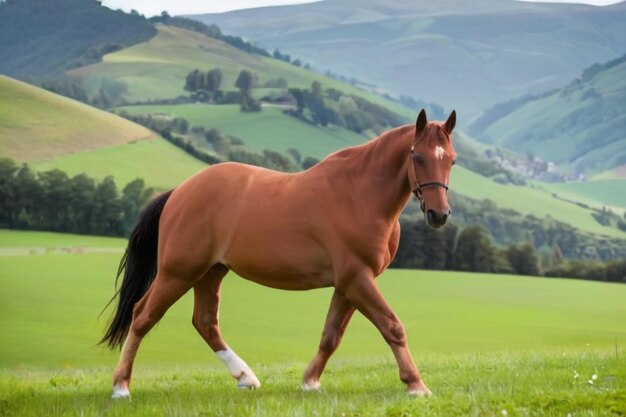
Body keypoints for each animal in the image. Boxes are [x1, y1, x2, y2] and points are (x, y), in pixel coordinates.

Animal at [101, 109, 454, 398]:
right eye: (418, 156)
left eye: (450, 158)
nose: (439, 214)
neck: (359, 194)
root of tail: (178, 192)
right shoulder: (357, 279)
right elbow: (392, 326)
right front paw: (417, 385)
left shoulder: (348, 284)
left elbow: (331, 335)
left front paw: (310, 382)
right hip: (178, 273)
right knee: (142, 316)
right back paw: (121, 387)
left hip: (210, 272)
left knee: (205, 322)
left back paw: (246, 377)